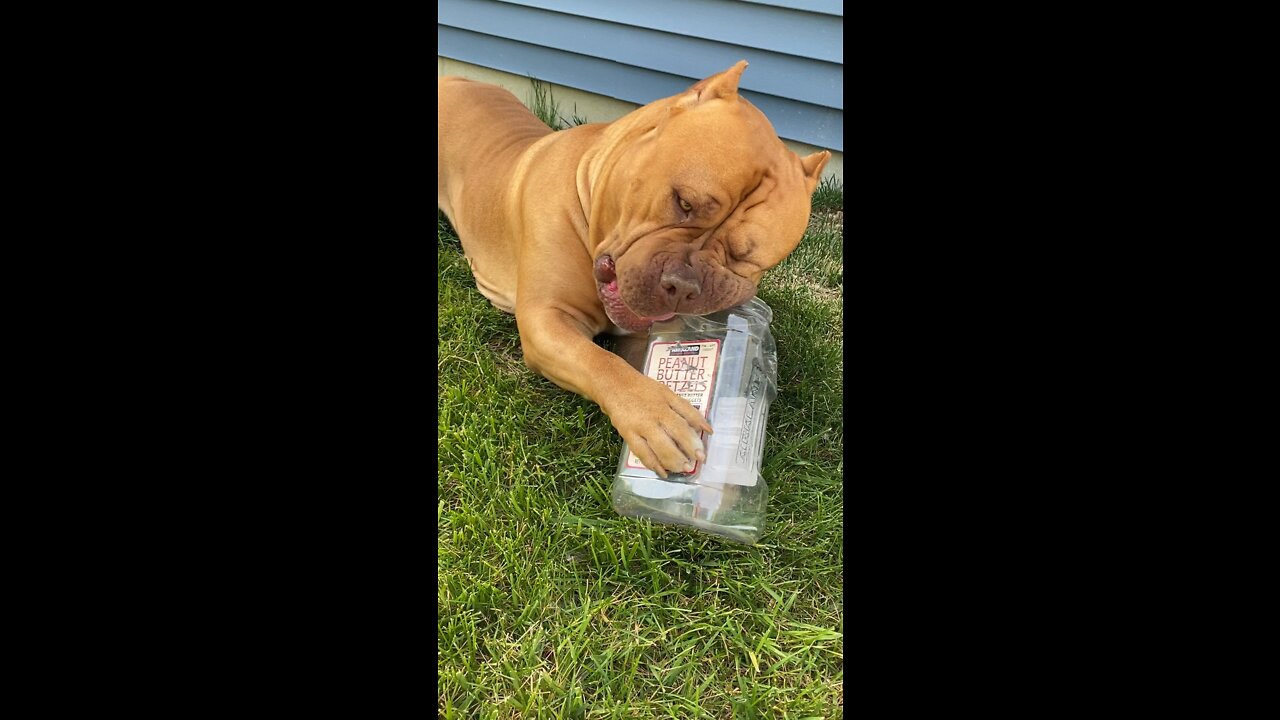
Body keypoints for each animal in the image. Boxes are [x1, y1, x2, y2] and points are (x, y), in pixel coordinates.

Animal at [435, 60, 824, 476]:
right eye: (684, 202)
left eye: (746, 257)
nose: (684, 285)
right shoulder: (547, 318)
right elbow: (599, 361)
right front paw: (655, 415)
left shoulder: (646, 336)